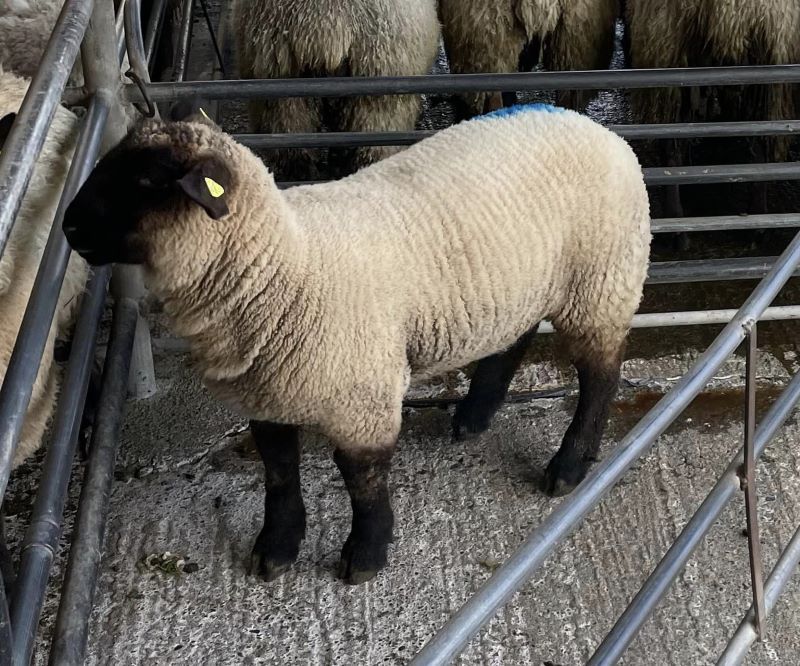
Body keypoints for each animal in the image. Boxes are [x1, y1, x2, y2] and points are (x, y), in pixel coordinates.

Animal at [62, 104, 651, 584]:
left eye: (145, 178)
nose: (67, 228)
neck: (284, 263)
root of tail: (594, 126)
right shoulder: (265, 392)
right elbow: (278, 472)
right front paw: (276, 549)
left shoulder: (361, 396)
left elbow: (363, 480)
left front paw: (366, 555)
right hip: (521, 282)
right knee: (515, 336)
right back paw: (474, 415)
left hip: (601, 279)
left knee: (602, 375)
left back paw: (568, 467)